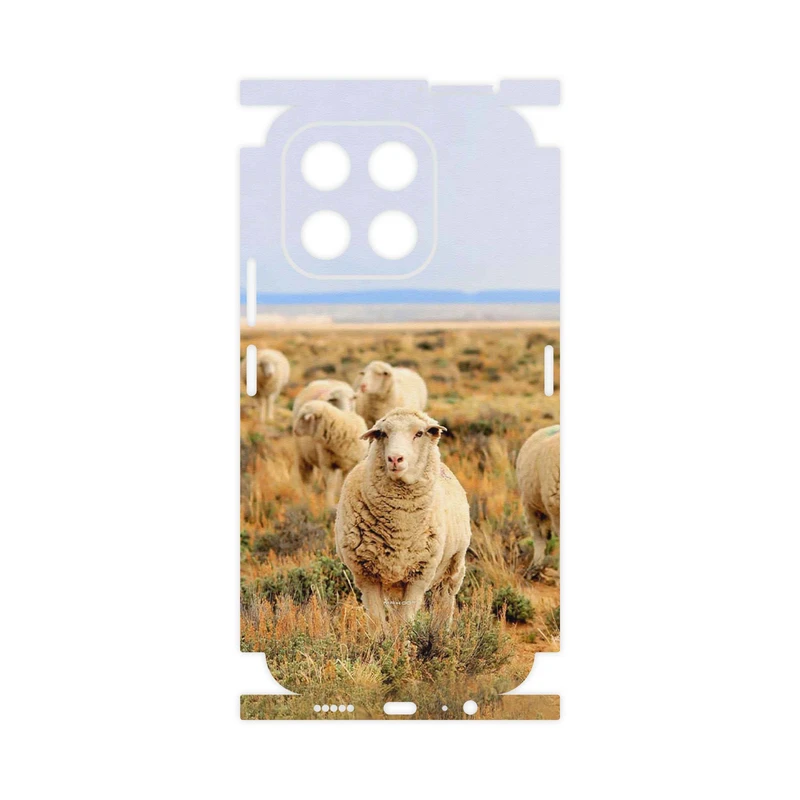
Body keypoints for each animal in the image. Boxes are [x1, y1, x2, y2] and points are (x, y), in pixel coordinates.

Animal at [335, 408, 471, 634]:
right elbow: (377, 622)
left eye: (419, 433)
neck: (400, 528)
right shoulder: (366, 575)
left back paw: (440, 633)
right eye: (383, 434)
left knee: (444, 601)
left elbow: (405, 622)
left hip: (453, 566)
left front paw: (402, 642)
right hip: (394, 582)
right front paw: (382, 642)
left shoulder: (419, 575)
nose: (395, 458)